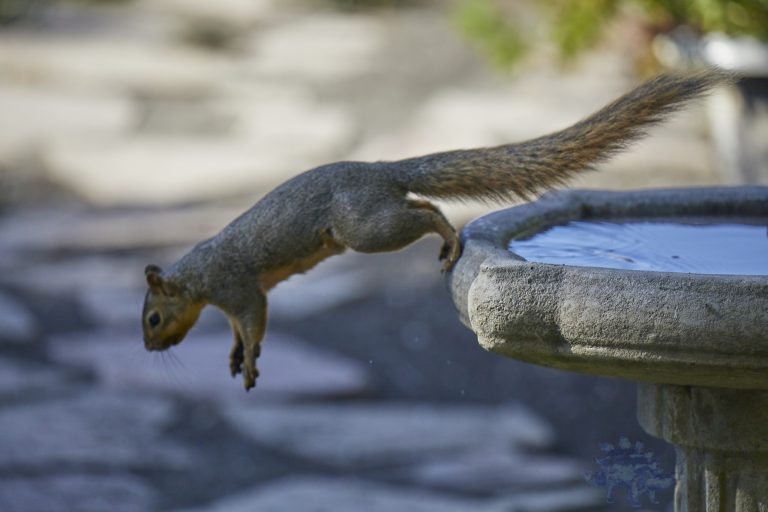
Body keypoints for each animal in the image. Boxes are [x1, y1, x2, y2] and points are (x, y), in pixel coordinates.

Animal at [142, 70, 729, 391]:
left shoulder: (239, 287)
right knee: (421, 201)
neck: (196, 277)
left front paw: (249, 363)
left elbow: (254, 321)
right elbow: (239, 329)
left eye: (152, 318)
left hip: (365, 228)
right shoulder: (235, 297)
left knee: (424, 213)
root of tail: (382, 171)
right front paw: (234, 354)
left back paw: (449, 238)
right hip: (374, 218)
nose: (149, 350)